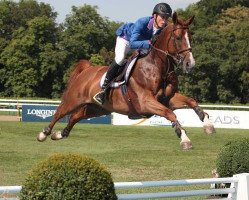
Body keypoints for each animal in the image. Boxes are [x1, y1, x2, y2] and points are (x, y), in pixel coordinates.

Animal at [37, 12, 214, 149]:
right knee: (60, 112)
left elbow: (191, 101)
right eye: (177, 38)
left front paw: (208, 125)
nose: (190, 64)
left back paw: (59, 134)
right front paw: (184, 138)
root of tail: (87, 69)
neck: (158, 66)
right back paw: (44, 134)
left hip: (98, 108)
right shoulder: (146, 101)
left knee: (75, 117)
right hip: (74, 99)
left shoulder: (167, 99)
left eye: (191, 37)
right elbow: (170, 114)